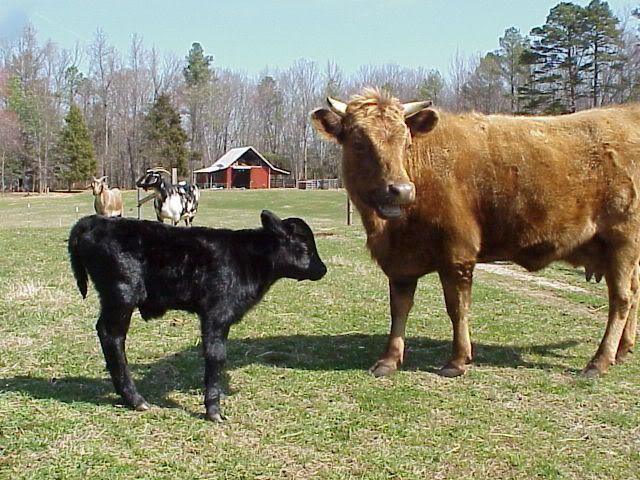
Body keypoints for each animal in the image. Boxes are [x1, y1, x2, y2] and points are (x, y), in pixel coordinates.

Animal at [311, 88, 640, 379]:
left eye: (406, 143)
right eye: (359, 143)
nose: (401, 191)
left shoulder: (458, 254)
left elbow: (457, 308)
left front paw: (457, 361)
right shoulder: (401, 263)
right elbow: (399, 309)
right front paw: (389, 360)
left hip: (623, 240)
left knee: (621, 299)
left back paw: (599, 362)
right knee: (634, 293)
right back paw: (623, 350)